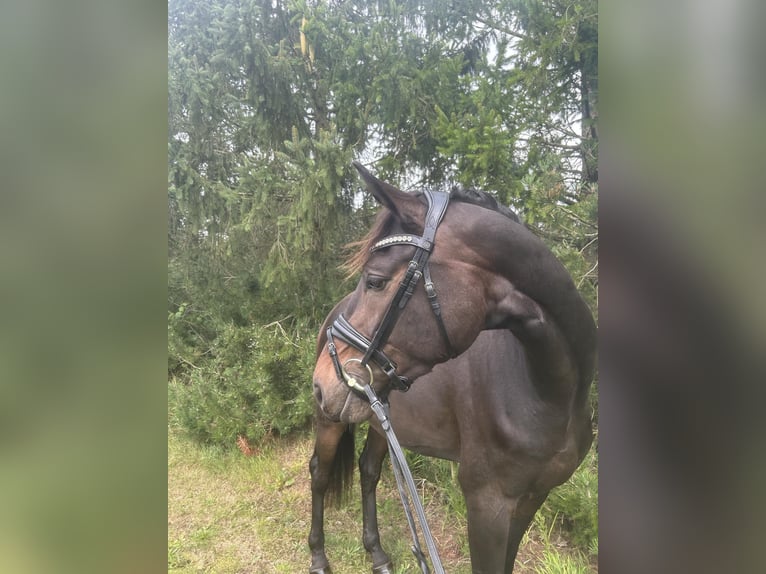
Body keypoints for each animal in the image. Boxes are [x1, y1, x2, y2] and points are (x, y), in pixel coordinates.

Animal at [308, 163, 596, 574]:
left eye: (375, 280)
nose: (321, 382)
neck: (549, 395)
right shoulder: (487, 503)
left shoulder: (531, 497)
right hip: (330, 421)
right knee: (319, 474)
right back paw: (318, 557)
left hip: (382, 420)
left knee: (368, 471)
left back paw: (377, 554)